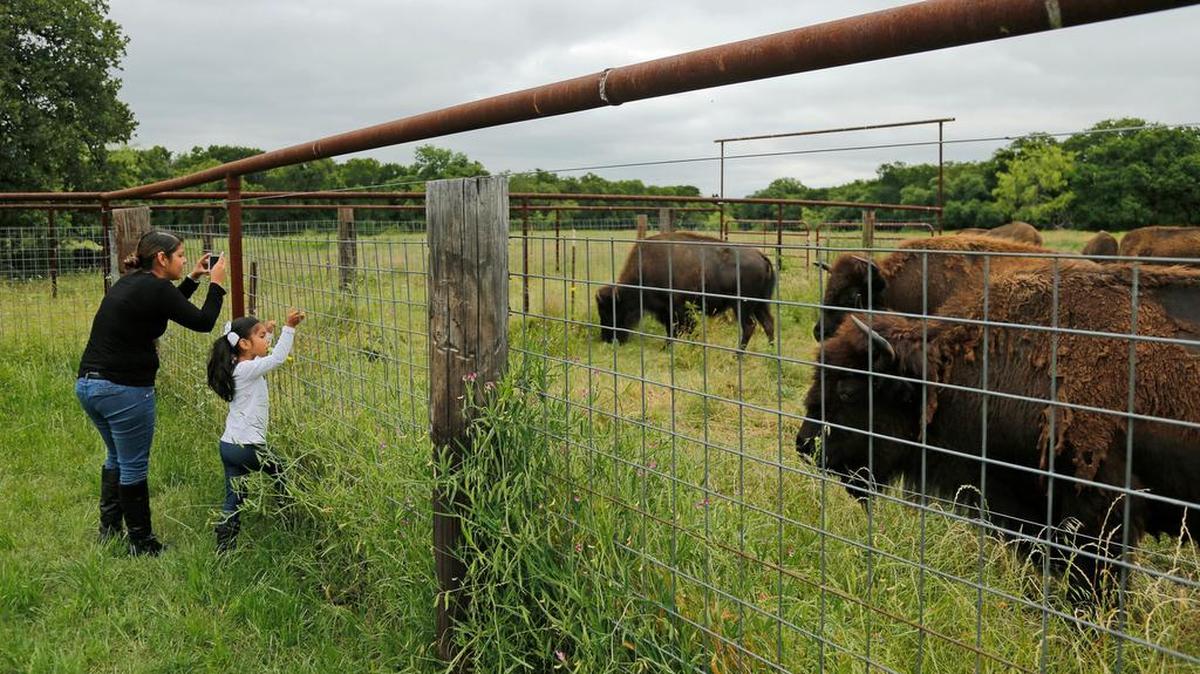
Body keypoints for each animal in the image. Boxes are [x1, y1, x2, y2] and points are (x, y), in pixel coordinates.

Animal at [595, 232, 775, 349]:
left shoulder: (676, 309)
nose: (607, 339)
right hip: (760, 305)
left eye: (610, 310)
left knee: (749, 326)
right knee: (768, 323)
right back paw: (771, 350)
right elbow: (674, 329)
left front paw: (669, 347)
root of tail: (761, 257)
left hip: (742, 306)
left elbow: (678, 329)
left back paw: (738, 354)